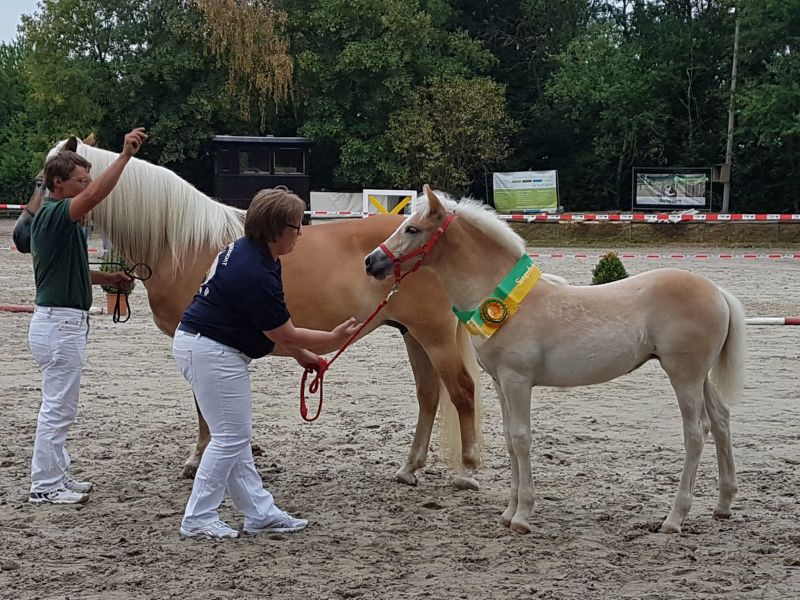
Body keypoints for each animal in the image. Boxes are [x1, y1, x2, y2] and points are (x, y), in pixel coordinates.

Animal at [14, 138, 482, 490]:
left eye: (43, 179)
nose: (21, 235)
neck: (182, 242)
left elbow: (203, 405)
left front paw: (197, 458)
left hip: (434, 335)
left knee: (461, 391)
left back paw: (467, 472)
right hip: (411, 333)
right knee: (429, 395)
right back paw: (409, 468)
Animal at [366, 186, 748, 536]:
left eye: (412, 229)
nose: (371, 262)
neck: (504, 298)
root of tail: (718, 292)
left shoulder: (518, 381)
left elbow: (522, 439)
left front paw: (522, 516)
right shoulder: (501, 383)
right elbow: (509, 439)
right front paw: (508, 512)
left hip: (684, 376)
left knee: (696, 433)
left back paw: (674, 518)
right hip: (700, 378)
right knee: (721, 421)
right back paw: (723, 505)